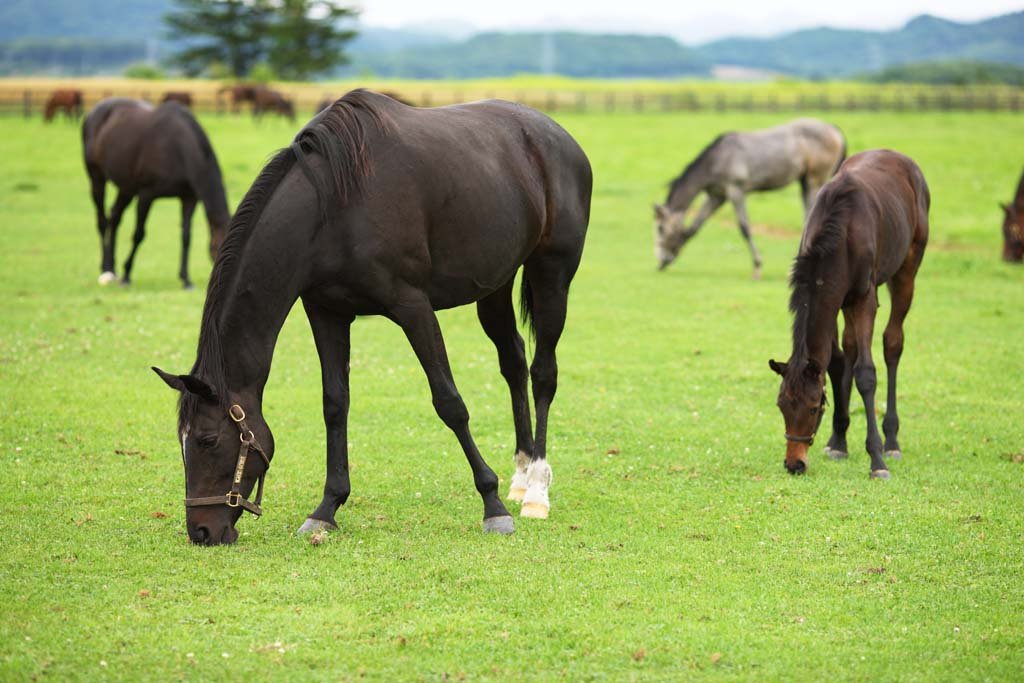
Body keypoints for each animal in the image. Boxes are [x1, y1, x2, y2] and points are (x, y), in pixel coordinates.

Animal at [82, 98, 231, 288]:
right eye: (218, 248)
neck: (180, 148)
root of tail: (93, 112)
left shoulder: (189, 198)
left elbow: (186, 237)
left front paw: (185, 279)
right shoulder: (147, 195)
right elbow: (138, 234)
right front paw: (127, 274)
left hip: (127, 187)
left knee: (114, 217)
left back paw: (113, 269)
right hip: (97, 178)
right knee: (102, 220)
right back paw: (106, 270)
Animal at [152, 89, 592, 546]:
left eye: (207, 440)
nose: (202, 531)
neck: (332, 207)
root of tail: (557, 136)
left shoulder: (413, 307)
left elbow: (449, 403)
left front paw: (492, 505)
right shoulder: (326, 311)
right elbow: (334, 404)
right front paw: (327, 508)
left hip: (552, 273)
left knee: (543, 373)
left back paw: (536, 491)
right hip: (495, 286)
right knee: (514, 363)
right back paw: (521, 477)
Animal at [653, 118, 845, 279]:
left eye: (660, 228)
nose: (660, 261)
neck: (718, 158)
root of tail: (833, 129)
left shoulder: (736, 191)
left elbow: (744, 227)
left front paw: (757, 266)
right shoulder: (717, 196)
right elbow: (695, 226)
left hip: (815, 180)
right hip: (805, 181)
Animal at [769, 149, 929, 479]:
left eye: (814, 407)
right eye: (781, 406)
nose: (794, 464)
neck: (841, 232)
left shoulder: (863, 299)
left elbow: (865, 373)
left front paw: (876, 459)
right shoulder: (831, 300)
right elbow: (836, 361)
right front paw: (838, 441)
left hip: (907, 269)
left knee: (893, 342)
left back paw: (892, 440)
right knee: (851, 346)